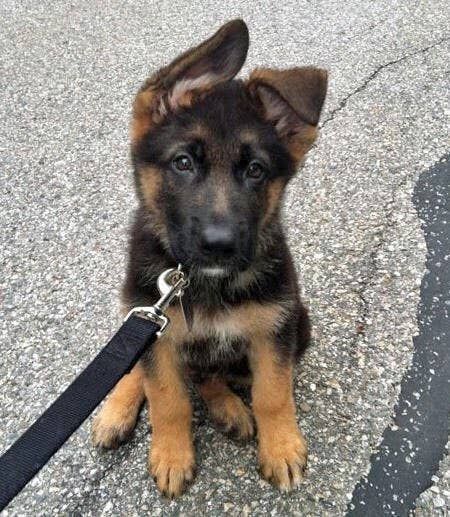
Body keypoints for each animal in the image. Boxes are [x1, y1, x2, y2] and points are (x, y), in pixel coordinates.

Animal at [93, 20, 328, 496]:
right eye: (183, 162)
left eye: (256, 170)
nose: (219, 245)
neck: (202, 281)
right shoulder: (157, 332)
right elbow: (166, 397)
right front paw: (171, 454)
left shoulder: (274, 329)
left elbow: (273, 394)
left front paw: (281, 447)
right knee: (141, 370)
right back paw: (116, 410)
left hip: (300, 324)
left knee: (211, 376)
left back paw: (228, 409)